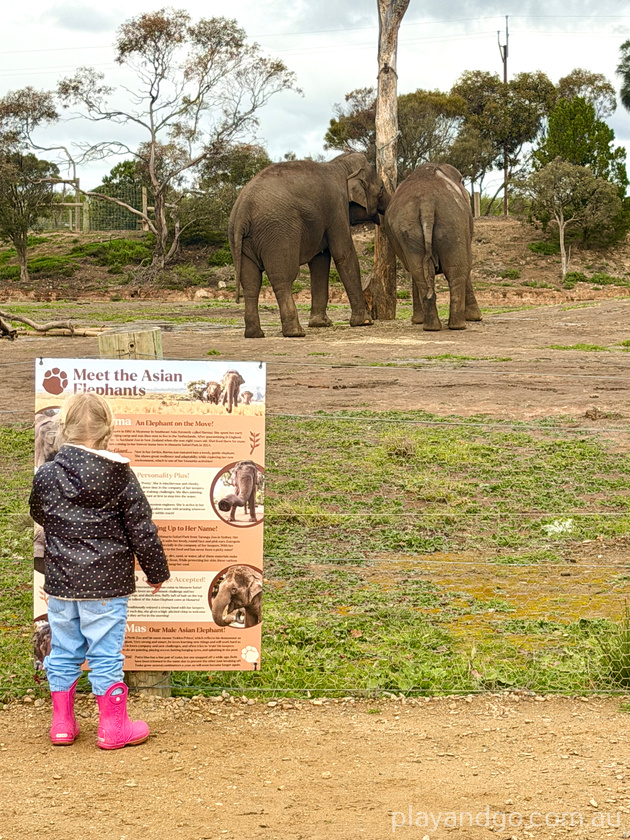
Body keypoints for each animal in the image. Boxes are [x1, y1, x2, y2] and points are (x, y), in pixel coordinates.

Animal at [228, 152, 389, 338]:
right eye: (382, 188)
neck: (339, 165)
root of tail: (242, 210)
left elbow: (320, 260)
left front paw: (321, 324)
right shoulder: (337, 208)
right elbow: (343, 254)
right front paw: (364, 322)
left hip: (241, 240)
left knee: (251, 283)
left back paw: (255, 334)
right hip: (278, 233)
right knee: (283, 278)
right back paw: (295, 332)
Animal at [383, 163, 482, 331]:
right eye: (462, 182)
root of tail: (427, 202)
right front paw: (476, 318)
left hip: (413, 226)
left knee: (420, 272)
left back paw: (432, 326)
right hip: (454, 220)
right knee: (458, 270)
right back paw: (458, 325)